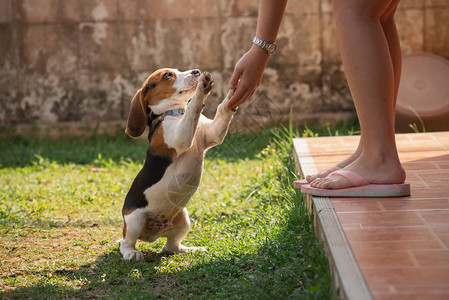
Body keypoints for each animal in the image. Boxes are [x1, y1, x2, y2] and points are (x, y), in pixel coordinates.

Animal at [117, 69, 236, 262]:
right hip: (135, 220)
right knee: (126, 242)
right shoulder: (180, 136)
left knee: (170, 247)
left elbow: (222, 109)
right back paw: (131, 253)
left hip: (183, 219)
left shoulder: (211, 134)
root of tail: (152, 235)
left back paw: (190, 249)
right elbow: (193, 108)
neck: (176, 113)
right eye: (167, 75)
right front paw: (202, 89)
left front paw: (233, 91)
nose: (196, 71)